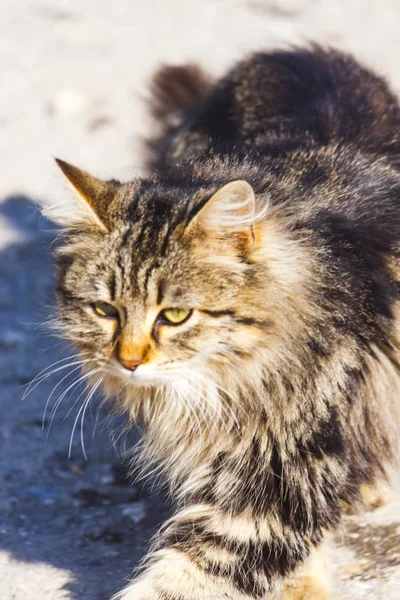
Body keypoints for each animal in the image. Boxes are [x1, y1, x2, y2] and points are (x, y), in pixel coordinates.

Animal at [41, 48, 400, 600]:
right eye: (106, 311)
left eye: (175, 315)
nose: (128, 361)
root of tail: (288, 54)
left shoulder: (286, 469)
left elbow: (188, 574)